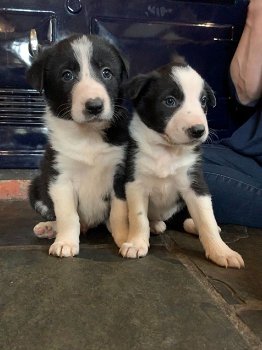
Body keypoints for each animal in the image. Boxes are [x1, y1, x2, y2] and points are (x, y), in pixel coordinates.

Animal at [27, 34, 128, 258]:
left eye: (106, 72)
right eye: (67, 75)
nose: (95, 106)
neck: (87, 136)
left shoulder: (119, 174)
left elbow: (119, 214)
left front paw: (126, 238)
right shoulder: (60, 176)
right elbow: (68, 215)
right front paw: (65, 243)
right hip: (36, 184)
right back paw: (49, 228)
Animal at [111, 60, 245, 268]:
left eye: (203, 101)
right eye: (170, 101)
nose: (198, 130)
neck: (167, 150)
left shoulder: (195, 184)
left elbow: (206, 220)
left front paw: (221, 251)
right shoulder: (135, 183)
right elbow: (138, 218)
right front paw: (136, 243)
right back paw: (156, 225)